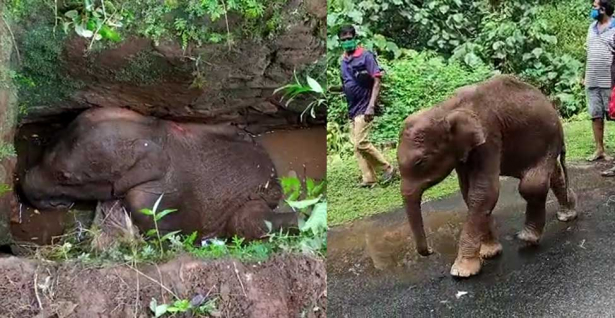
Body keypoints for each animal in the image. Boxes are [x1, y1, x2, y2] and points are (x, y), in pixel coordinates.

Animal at [398, 75, 580, 278]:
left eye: (420, 162)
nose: (430, 251)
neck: (446, 108)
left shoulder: (489, 134)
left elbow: (484, 192)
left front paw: (462, 272)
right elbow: (469, 191)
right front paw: (489, 253)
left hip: (550, 138)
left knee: (531, 185)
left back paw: (528, 237)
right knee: (552, 174)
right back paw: (567, 214)